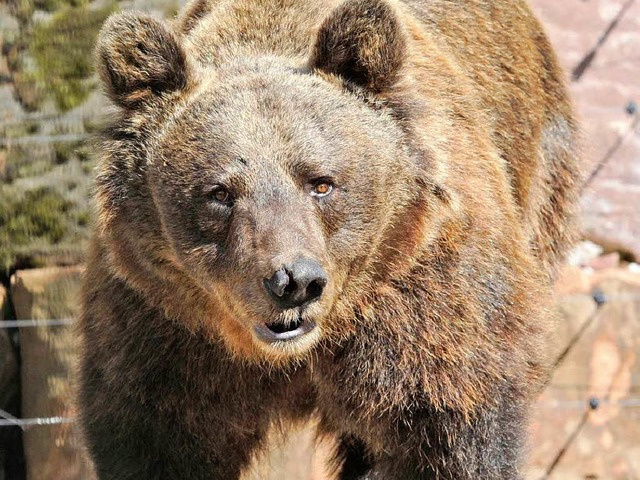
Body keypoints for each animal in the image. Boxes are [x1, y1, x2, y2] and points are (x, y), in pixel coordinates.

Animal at [79, 0, 580, 478]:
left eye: (321, 182)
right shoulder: (163, 329)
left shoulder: (426, 307)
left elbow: (451, 432)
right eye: (219, 192)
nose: (294, 282)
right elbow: (158, 437)